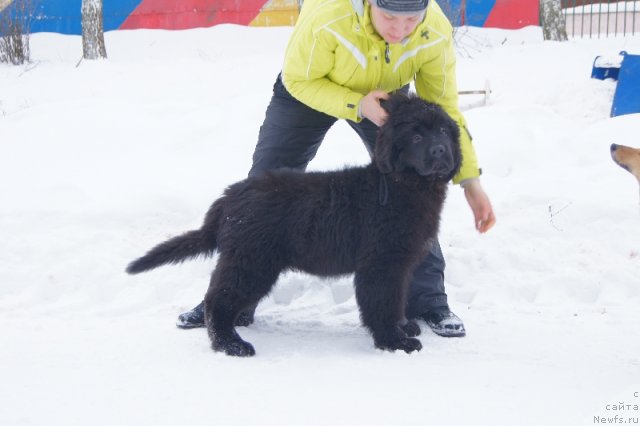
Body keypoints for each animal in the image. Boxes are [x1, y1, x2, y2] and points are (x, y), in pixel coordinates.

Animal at [127, 94, 462, 356]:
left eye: (443, 132)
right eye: (416, 137)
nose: (440, 151)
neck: (398, 185)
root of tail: (230, 195)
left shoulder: (399, 263)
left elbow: (397, 297)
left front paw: (404, 327)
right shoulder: (381, 262)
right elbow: (382, 302)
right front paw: (394, 341)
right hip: (252, 261)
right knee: (218, 300)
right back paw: (231, 344)